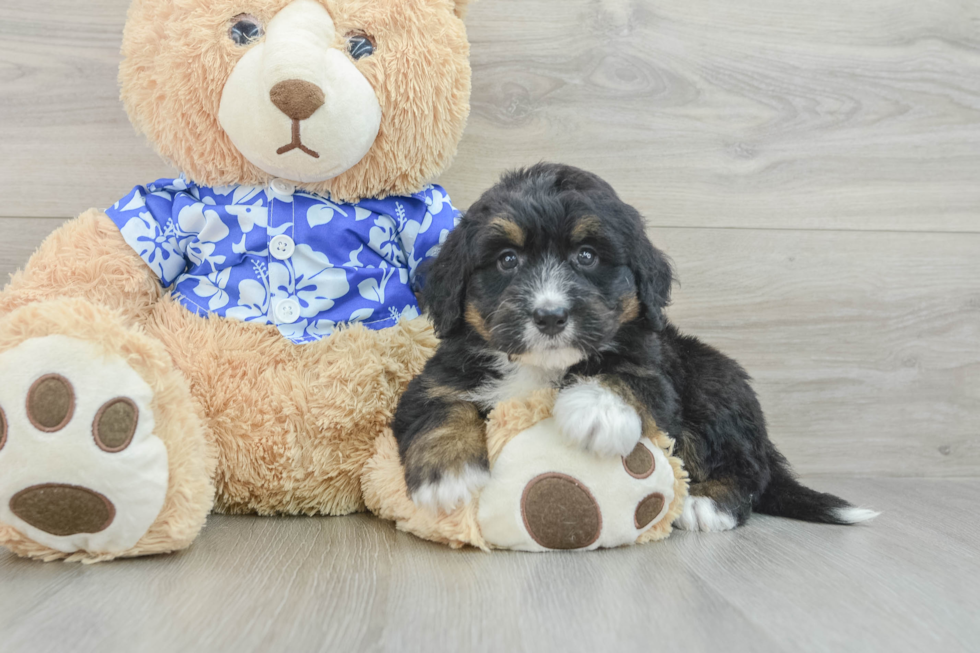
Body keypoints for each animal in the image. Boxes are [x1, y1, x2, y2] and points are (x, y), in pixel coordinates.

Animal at [392, 163, 880, 528]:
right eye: (507, 260)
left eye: (586, 255)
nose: (550, 316)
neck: (540, 367)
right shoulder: (436, 379)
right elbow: (440, 407)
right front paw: (449, 473)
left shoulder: (658, 371)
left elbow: (630, 374)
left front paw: (595, 411)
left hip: (714, 382)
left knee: (748, 469)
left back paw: (709, 503)